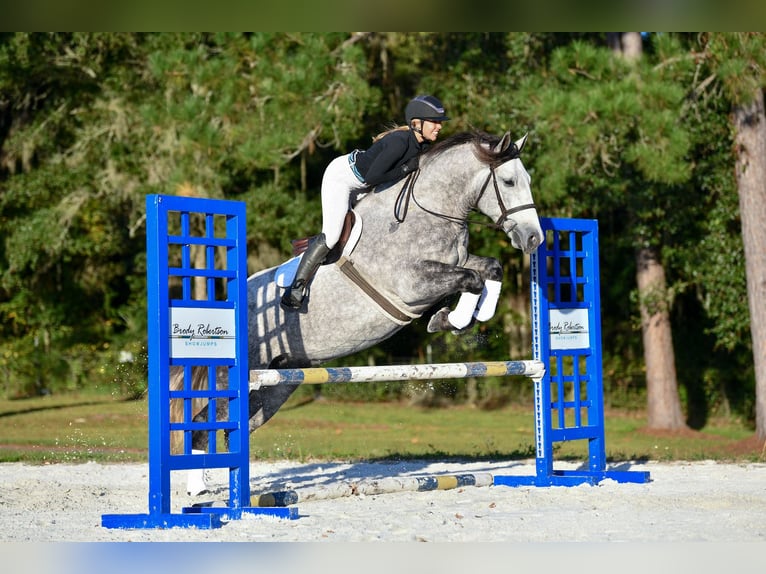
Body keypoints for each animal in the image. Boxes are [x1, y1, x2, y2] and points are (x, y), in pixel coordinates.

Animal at [171, 129, 544, 494]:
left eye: (528, 179)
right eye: (509, 181)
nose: (534, 239)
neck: (429, 212)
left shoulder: (456, 264)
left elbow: (490, 270)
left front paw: (460, 318)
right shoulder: (411, 284)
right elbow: (471, 280)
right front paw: (449, 319)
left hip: (275, 385)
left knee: (238, 427)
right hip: (239, 378)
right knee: (204, 424)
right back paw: (199, 492)